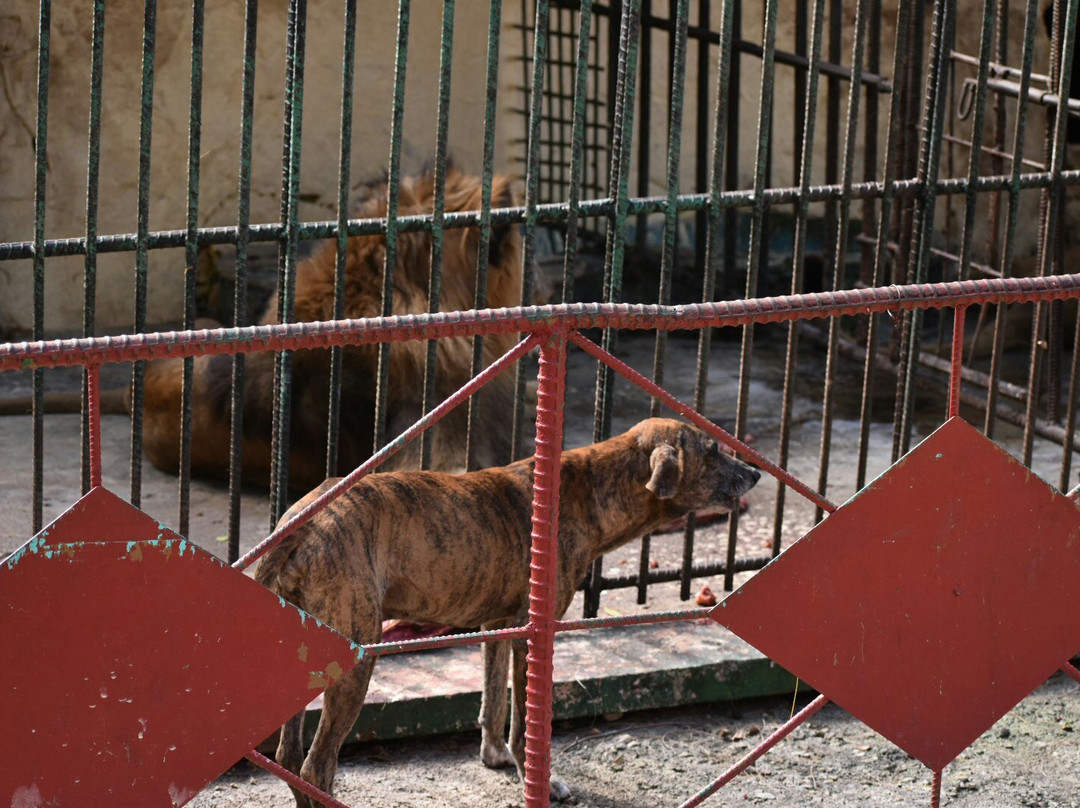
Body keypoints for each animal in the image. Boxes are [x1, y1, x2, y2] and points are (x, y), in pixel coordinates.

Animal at [252, 416, 760, 803]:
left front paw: (495, 756)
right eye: (713, 450)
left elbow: (494, 701)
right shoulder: (529, 632)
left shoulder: (498, 626)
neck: (591, 489)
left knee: (290, 757)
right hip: (356, 657)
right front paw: (536, 778)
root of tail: (300, 524)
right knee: (317, 766)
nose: (755, 475)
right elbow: (523, 721)